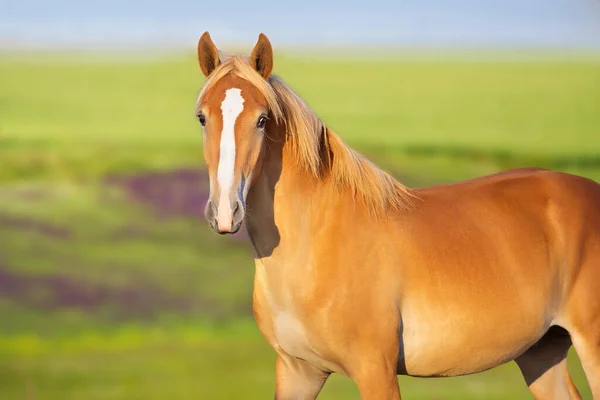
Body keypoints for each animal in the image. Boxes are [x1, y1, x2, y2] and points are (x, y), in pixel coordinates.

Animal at [195, 32, 600, 400]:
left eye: (262, 119)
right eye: (201, 117)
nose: (226, 213)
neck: (315, 243)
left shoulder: (376, 371)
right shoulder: (298, 372)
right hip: (541, 353)